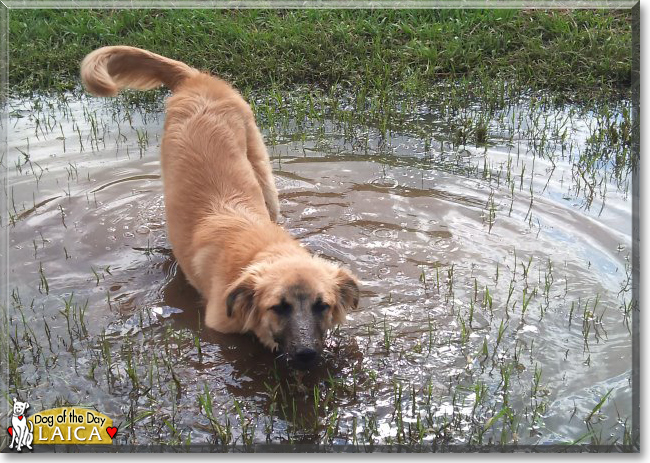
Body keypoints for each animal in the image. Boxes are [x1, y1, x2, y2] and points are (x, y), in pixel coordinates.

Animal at [79, 45, 360, 368]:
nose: (307, 355)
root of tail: (196, 78)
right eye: (278, 307)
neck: (260, 250)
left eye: (321, 305)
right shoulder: (220, 327)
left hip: (261, 171)